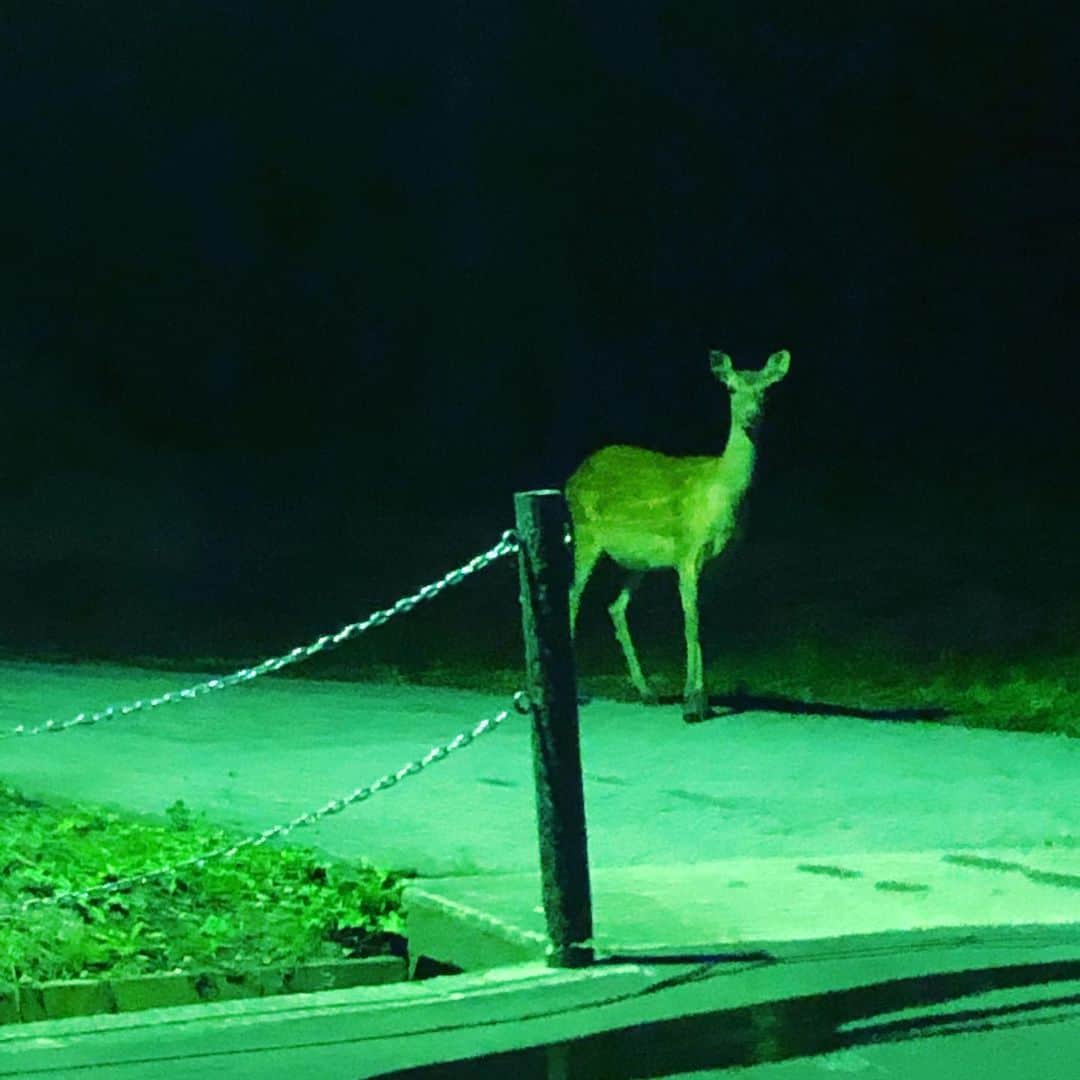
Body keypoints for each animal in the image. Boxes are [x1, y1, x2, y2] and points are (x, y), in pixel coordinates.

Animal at [565, 348, 790, 723]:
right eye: (731, 388)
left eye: (766, 390)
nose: (750, 416)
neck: (720, 494)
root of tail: (572, 477)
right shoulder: (687, 552)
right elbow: (690, 620)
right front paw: (692, 702)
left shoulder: (718, 561)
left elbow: (702, 619)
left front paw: (703, 700)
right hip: (585, 536)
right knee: (572, 595)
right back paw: (575, 691)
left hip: (638, 562)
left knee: (615, 606)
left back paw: (646, 692)